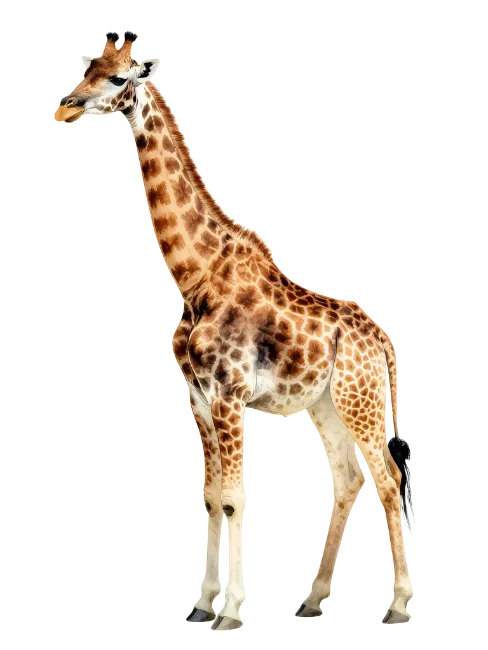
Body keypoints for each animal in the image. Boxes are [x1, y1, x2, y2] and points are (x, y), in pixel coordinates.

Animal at [55, 31, 415, 631]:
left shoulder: (231, 396)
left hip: (360, 402)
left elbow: (235, 498)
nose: (65, 108)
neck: (192, 274)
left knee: (387, 479)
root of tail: (385, 340)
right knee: (349, 478)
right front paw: (203, 603)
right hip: (326, 404)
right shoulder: (198, 398)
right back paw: (312, 601)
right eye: (88, 67)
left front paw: (230, 612)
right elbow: (209, 498)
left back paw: (399, 604)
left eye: (118, 78)